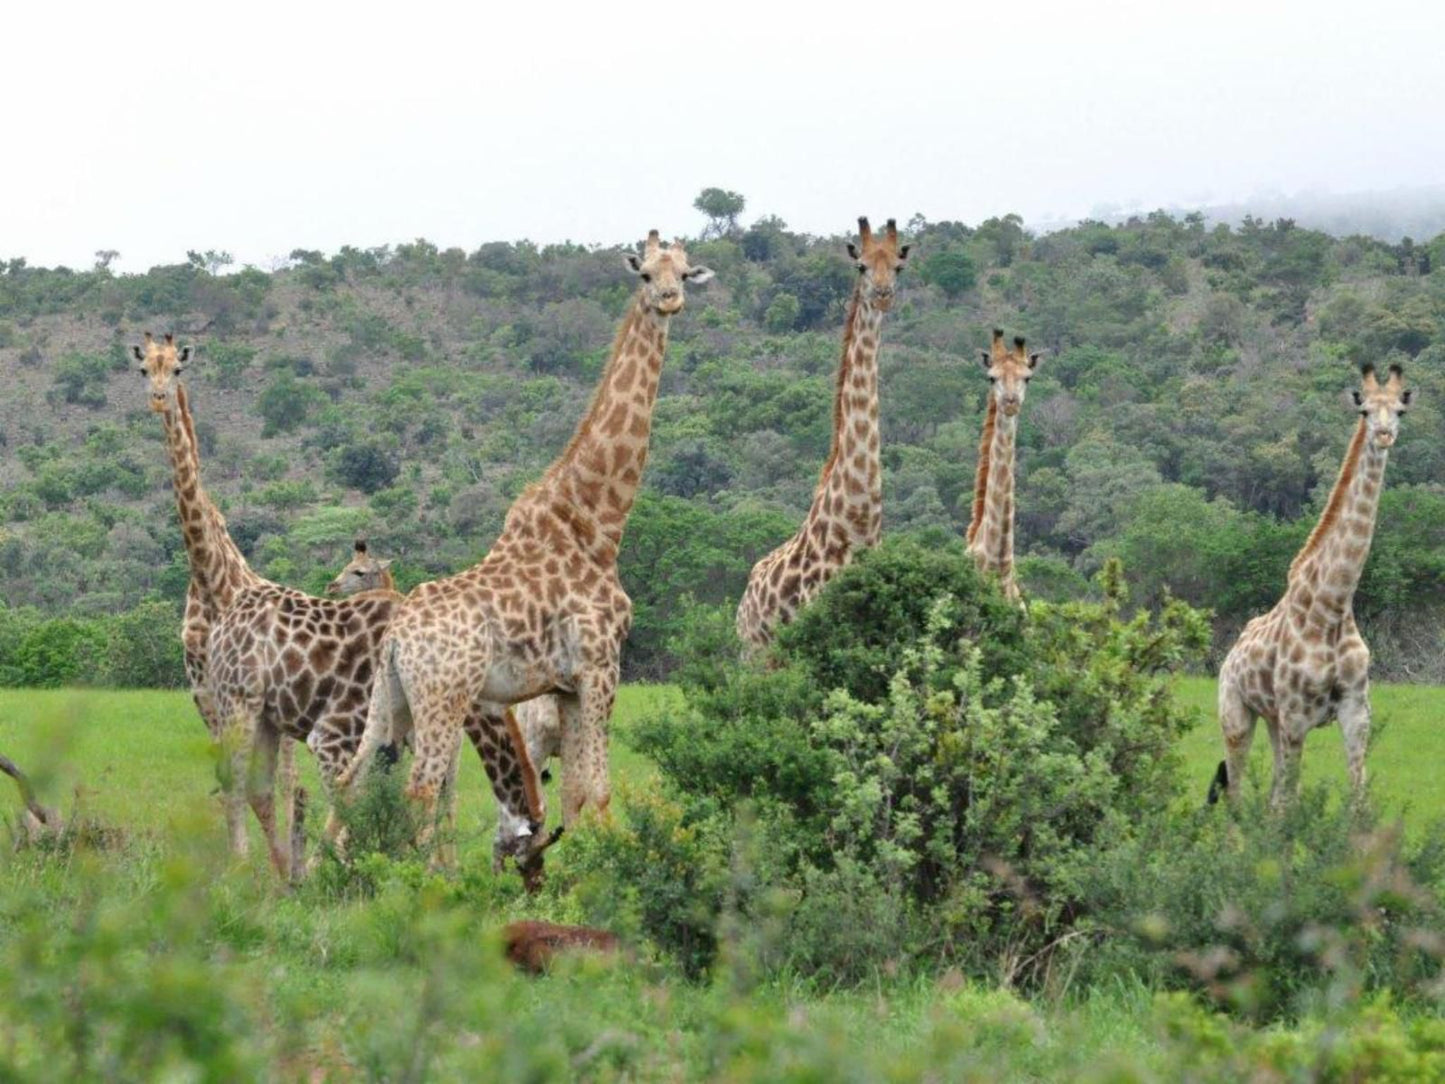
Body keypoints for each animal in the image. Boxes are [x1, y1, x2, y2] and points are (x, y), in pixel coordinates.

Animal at [343, 234, 716, 838]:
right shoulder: (600, 666)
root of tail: (397, 635)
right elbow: (601, 792)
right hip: (444, 697)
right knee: (420, 790)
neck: (598, 521)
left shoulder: (563, 686)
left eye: (683, 272)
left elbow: (576, 795)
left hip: (390, 696)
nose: (669, 300)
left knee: (350, 781)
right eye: (644, 274)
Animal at [739, 216, 907, 650]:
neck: (859, 523)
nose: (883, 295)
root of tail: (742, 605)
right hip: (755, 653)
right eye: (861, 265)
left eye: (898, 266)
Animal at [1208, 362, 1410, 809]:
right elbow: (1290, 803)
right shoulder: (1296, 714)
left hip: (1272, 719)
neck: (1332, 605)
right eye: (1365, 411)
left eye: (1399, 411)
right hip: (1237, 713)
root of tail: (1229, 655)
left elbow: (1357, 800)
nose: (1384, 435)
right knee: (1236, 793)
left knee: (1268, 794)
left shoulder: (1356, 710)